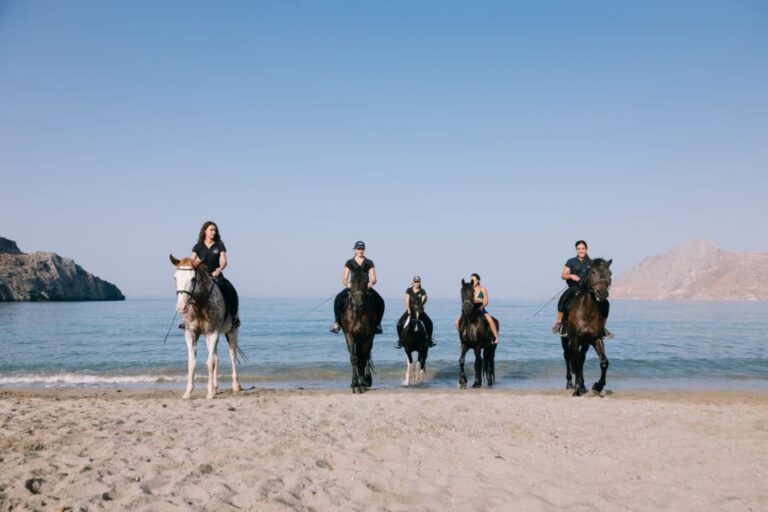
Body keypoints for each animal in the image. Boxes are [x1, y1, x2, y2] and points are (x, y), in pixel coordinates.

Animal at [170, 256, 242, 400]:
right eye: (175, 278)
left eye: (193, 278)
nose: (181, 307)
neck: (200, 304)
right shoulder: (191, 334)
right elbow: (192, 362)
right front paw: (188, 392)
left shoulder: (213, 333)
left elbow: (210, 363)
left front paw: (209, 393)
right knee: (215, 356)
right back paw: (215, 387)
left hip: (232, 331)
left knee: (232, 354)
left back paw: (235, 386)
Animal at [560, 260, 612, 396]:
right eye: (592, 272)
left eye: (609, 273)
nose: (602, 293)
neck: (588, 312)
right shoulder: (575, 339)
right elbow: (575, 363)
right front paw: (577, 389)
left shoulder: (596, 339)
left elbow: (604, 362)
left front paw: (597, 386)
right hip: (565, 339)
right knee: (568, 356)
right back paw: (570, 384)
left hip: (585, 343)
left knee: (581, 358)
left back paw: (582, 386)